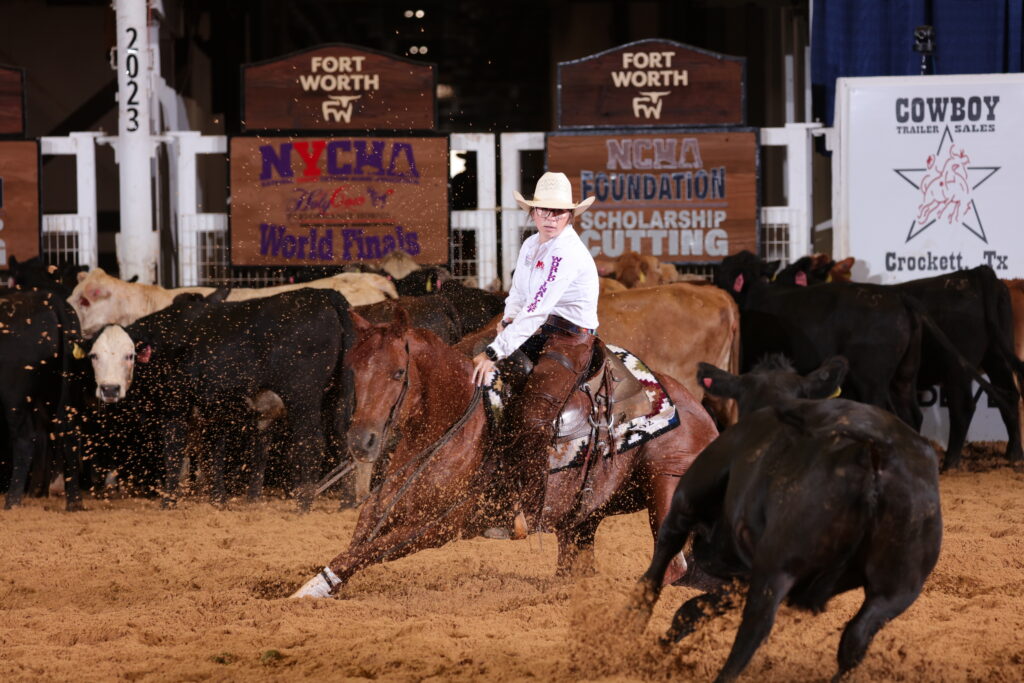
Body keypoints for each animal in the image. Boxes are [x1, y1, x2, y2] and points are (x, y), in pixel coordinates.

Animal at [290, 310, 719, 597]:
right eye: (355, 370)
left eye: (398, 373)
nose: (361, 441)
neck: (453, 423)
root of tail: (700, 413)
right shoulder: (386, 505)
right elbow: (357, 542)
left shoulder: (438, 526)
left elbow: (365, 552)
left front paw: (305, 593)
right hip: (582, 520)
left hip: (664, 488)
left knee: (672, 566)